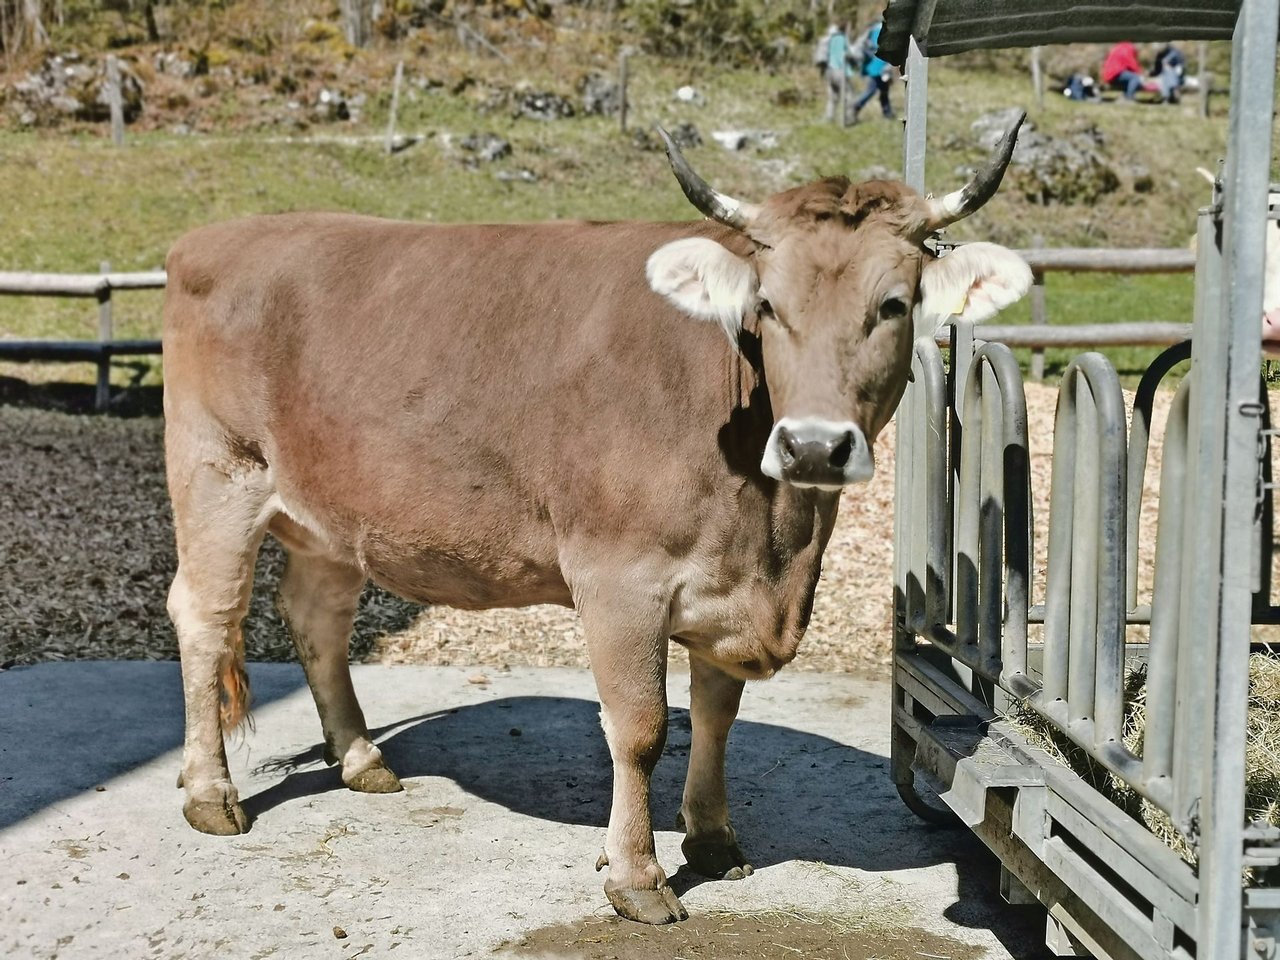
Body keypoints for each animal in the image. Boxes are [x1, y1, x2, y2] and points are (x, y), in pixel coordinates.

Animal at [165, 112, 1034, 926]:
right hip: (218, 474)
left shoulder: (728, 584)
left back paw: (360, 759)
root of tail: (221, 234)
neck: (773, 535)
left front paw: (712, 839)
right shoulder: (621, 579)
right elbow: (640, 729)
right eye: (767, 305)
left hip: (332, 513)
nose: (815, 445)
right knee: (205, 618)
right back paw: (211, 794)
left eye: (894, 304)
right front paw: (638, 876)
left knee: (317, 618)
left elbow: (716, 715)